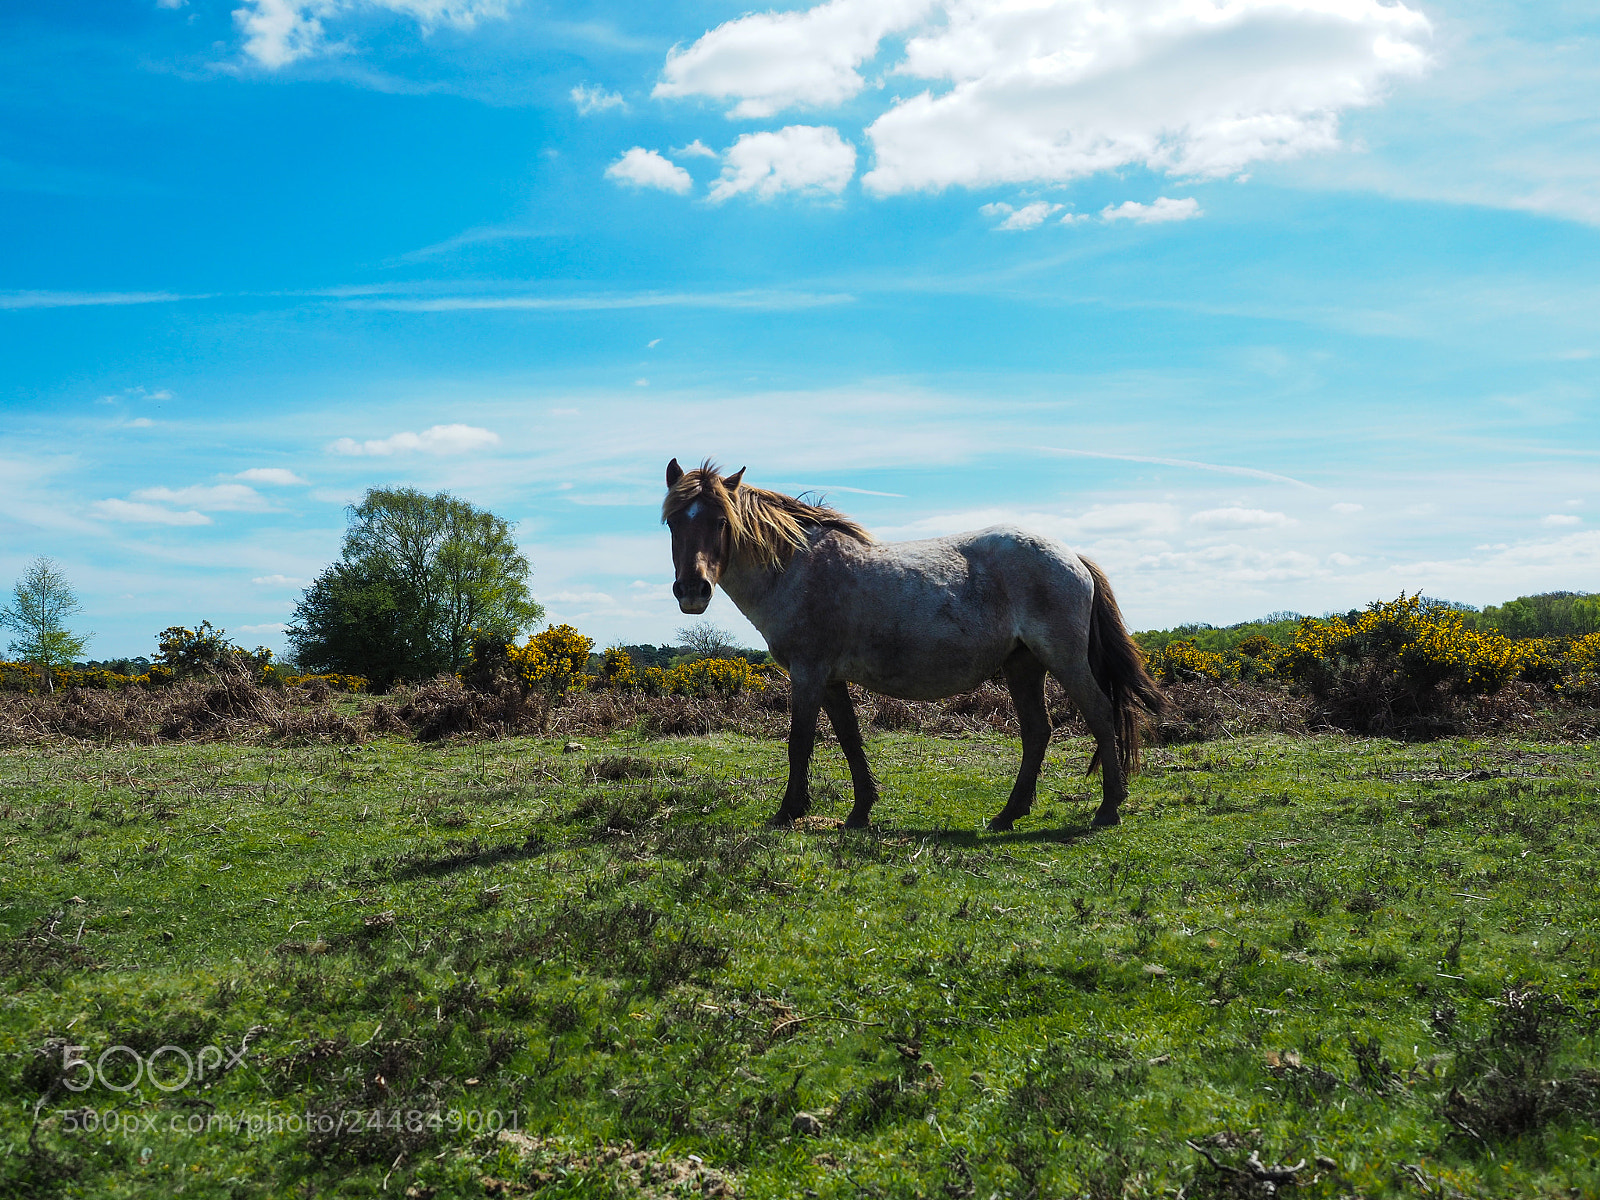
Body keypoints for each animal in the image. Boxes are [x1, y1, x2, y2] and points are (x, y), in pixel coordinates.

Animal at [662, 459, 1165, 831]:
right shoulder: (830, 679)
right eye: (672, 524)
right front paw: (860, 811)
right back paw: (1008, 814)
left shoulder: (808, 674)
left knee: (1099, 714)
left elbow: (799, 741)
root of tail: (1071, 556)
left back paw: (1107, 809)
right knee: (1037, 732)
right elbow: (849, 738)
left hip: (1063, 660)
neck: (799, 569)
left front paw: (789, 811)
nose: (692, 591)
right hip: (1023, 665)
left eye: (720, 521)